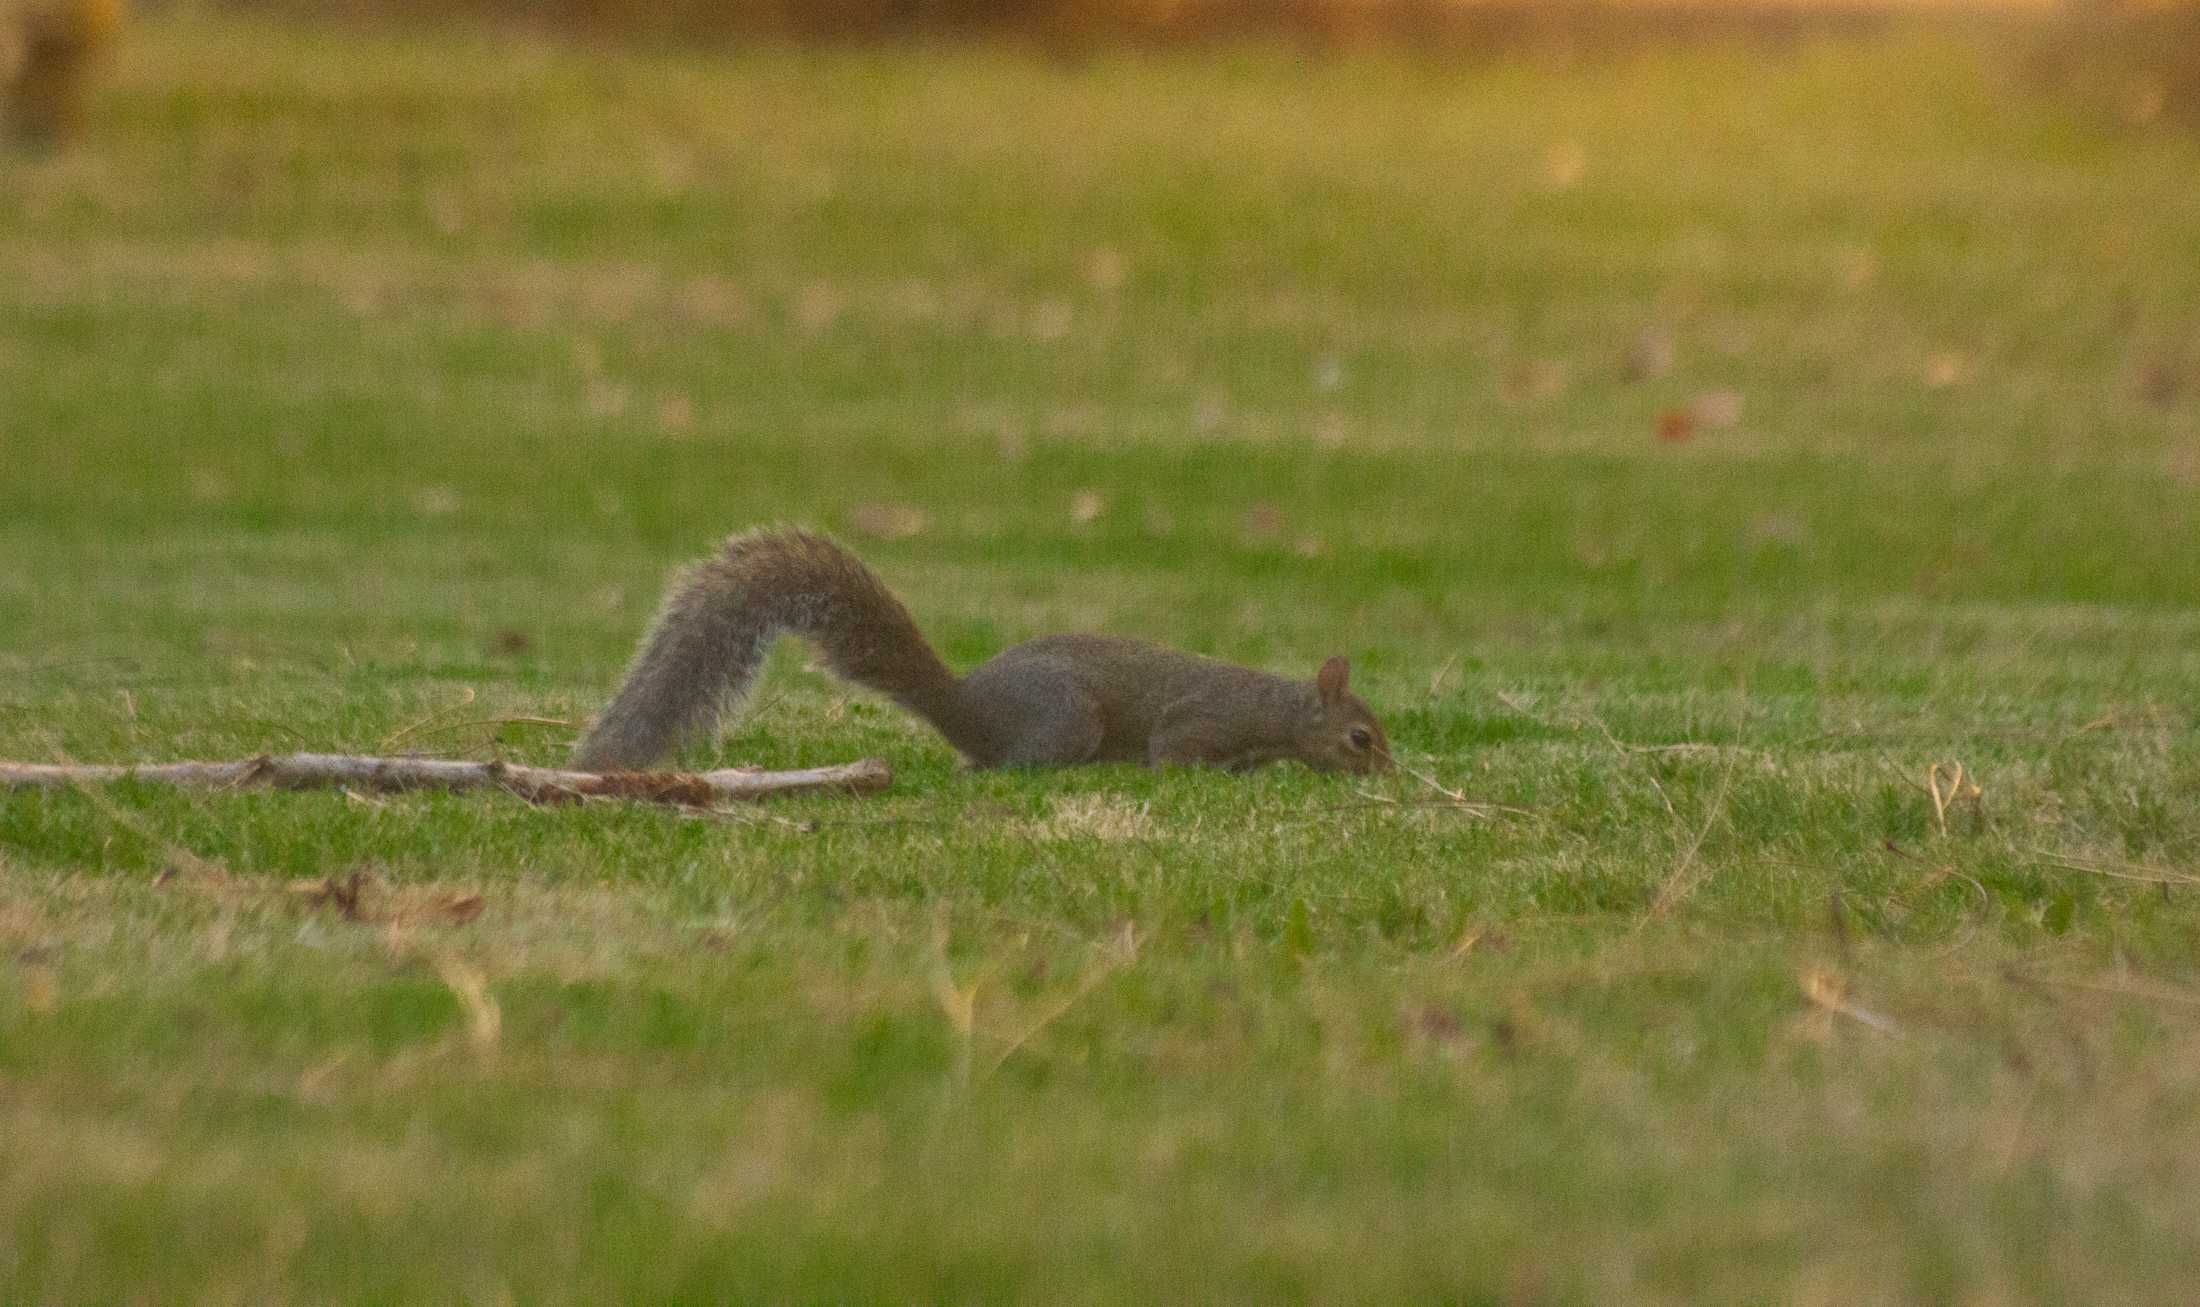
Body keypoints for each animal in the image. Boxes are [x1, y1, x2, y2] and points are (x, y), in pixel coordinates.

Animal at [572, 525, 1390, 774]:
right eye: (1360, 736)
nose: (1389, 769)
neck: (1273, 709)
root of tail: (961, 704)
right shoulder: (1200, 721)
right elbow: (1174, 752)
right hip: (1065, 721)